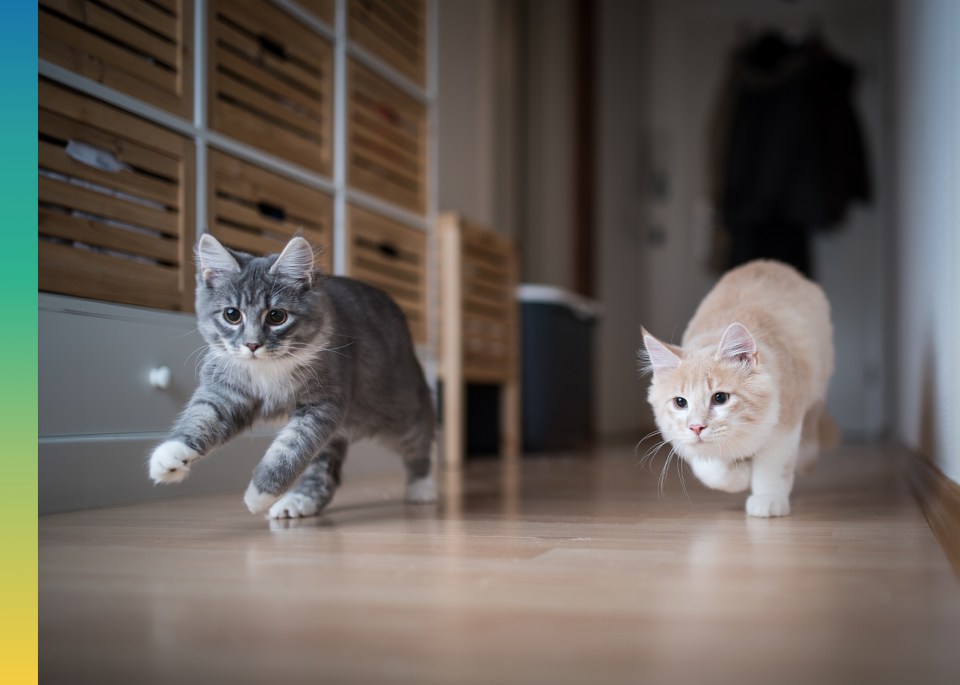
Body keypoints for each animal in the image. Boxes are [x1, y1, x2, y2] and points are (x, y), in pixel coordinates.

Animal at [148, 232, 436, 516]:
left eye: (276, 316)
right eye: (232, 314)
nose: (252, 344)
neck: (267, 369)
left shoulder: (322, 405)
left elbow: (290, 449)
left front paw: (260, 494)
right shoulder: (226, 391)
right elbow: (202, 416)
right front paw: (170, 455)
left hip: (398, 410)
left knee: (422, 438)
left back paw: (422, 486)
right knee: (324, 473)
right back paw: (299, 501)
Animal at [640, 260, 836, 516]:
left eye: (720, 398)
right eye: (680, 402)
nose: (696, 427)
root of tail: (769, 263)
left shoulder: (785, 420)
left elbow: (772, 466)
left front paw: (767, 498)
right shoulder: (684, 442)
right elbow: (711, 469)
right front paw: (741, 475)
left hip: (817, 382)